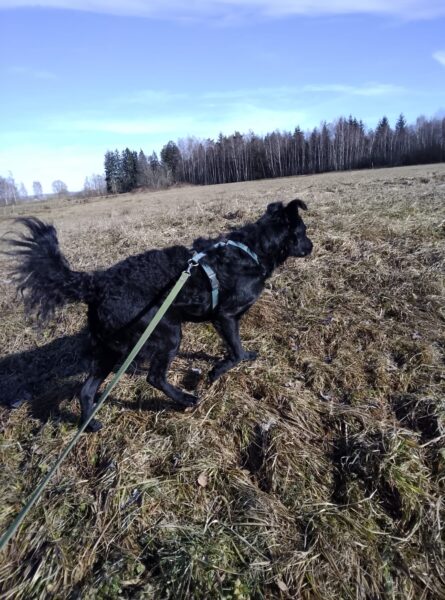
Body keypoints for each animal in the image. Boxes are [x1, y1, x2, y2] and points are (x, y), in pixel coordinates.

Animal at [8, 199, 312, 431]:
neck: (254, 249)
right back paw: (184, 399)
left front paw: (240, 359)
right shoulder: (225, 316)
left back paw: (90, 424)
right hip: (167, 332)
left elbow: (238, 349)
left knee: (86, 389)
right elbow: (235, 351)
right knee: (154, 377)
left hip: (111, 348)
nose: (311, 247)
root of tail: (97, 283)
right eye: (304, 230)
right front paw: (217, 371)